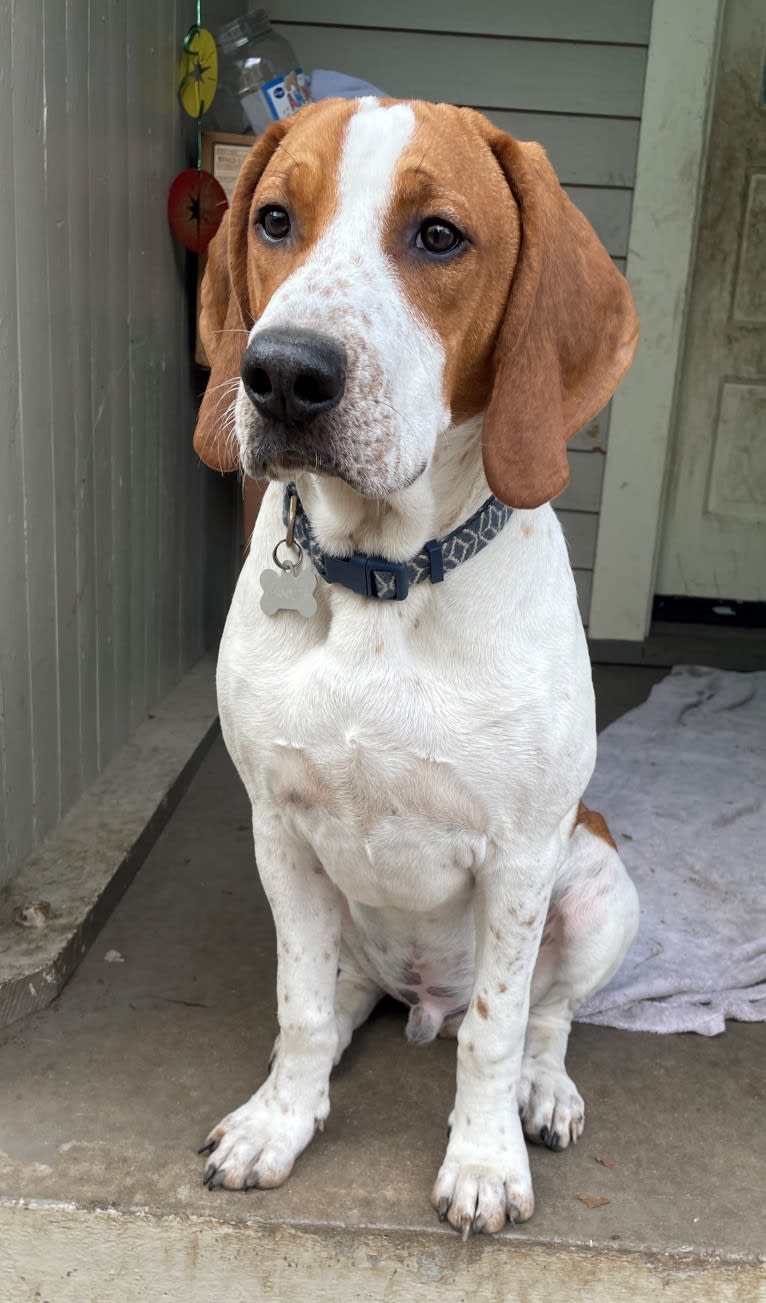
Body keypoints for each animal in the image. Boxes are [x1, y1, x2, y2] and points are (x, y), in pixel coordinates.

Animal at [191, 96, 640, 1235]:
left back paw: (542, 1091)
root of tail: (417, 996)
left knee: (544, 1017)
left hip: (600, 885)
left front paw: (482, 1161)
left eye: (439, 236)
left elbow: (497, 1025)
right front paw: (277, 1124)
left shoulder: (521, 857)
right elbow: (301, 1007)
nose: (282, 374)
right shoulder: (277, 827)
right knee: (339, 1001)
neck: (382, 582)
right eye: (272, 218)